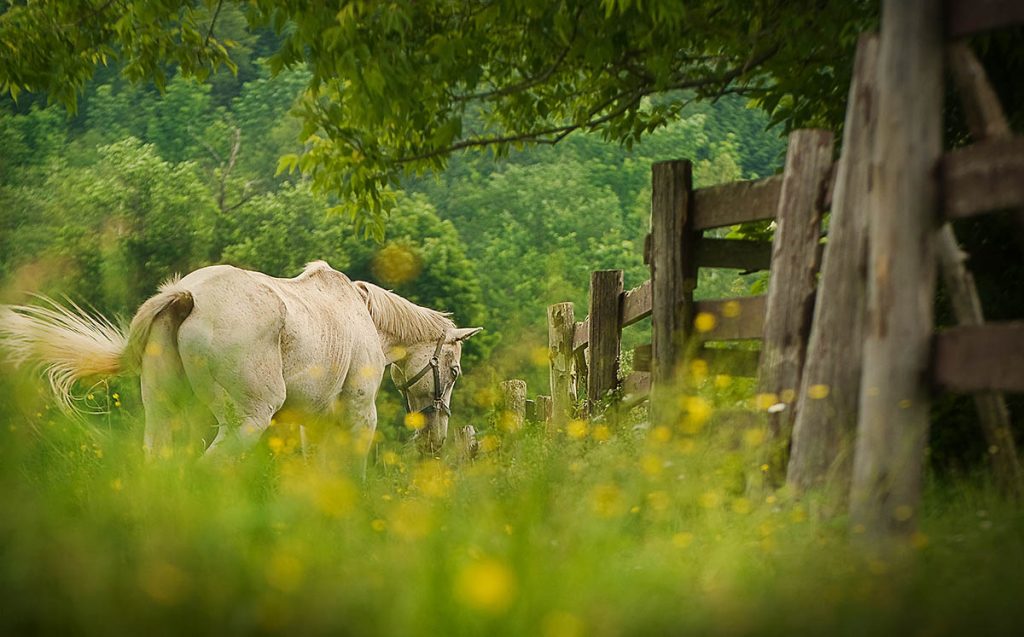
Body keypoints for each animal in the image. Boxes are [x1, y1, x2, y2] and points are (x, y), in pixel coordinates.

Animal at [0, 262, 481, 460]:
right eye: (454, 370)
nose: (435, 438)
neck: (361, 315)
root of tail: (187, 295)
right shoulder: (360, 417)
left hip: (166, 416)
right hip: (246, 420)